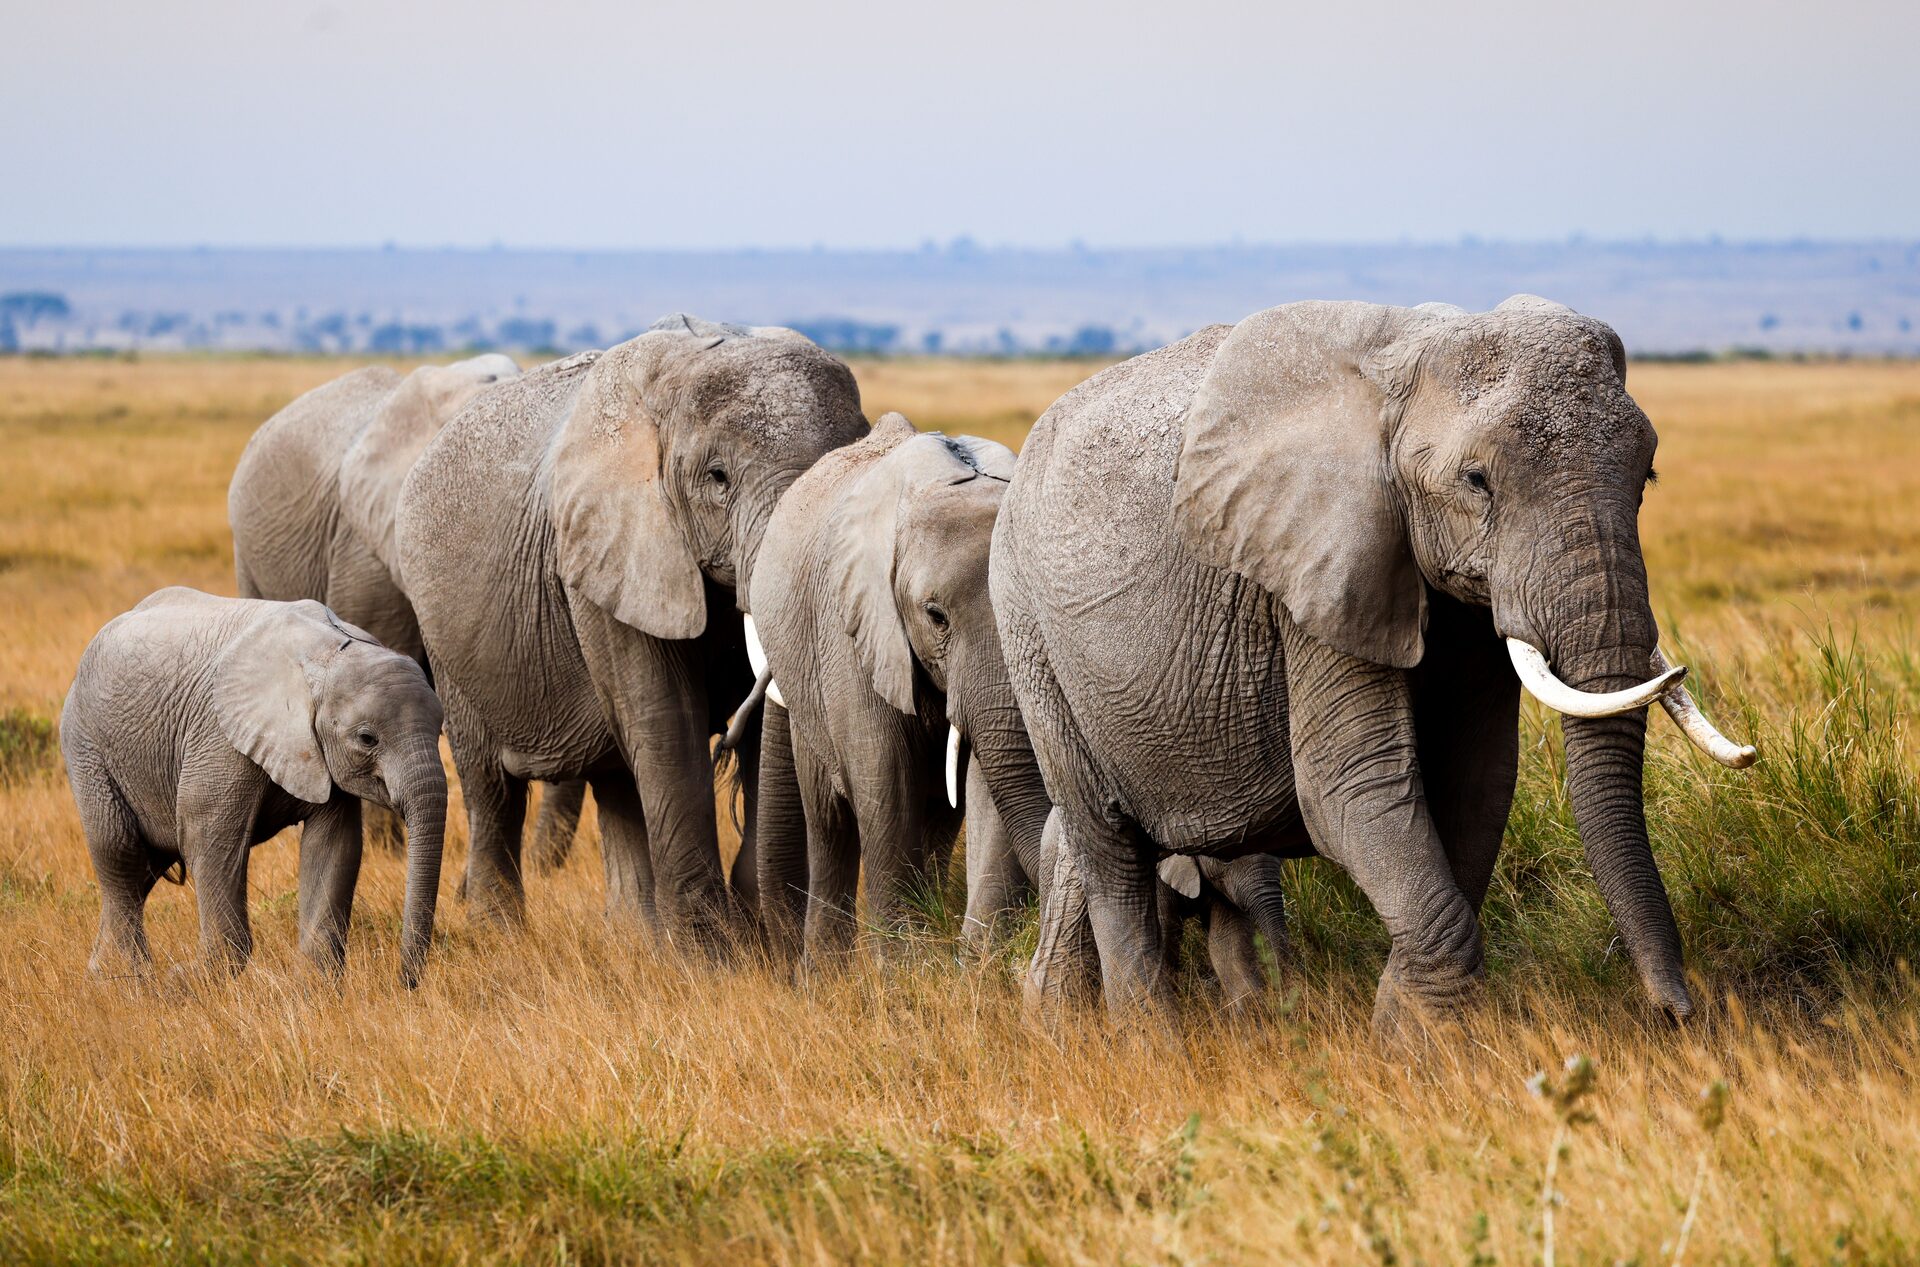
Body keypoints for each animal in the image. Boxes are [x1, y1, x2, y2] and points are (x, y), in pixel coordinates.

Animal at [61, 588, 447, 983]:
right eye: (367, 738)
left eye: (440, 729)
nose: (405, 981)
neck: (328, 654)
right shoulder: (220, 735)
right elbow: (208, 836)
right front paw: (188, 979)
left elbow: (336, 844)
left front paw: (315, 984)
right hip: (85, 744)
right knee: (119, 852)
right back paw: (128, 979)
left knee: (144, 868)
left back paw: (101, 974)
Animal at [395, 315, 869, 946]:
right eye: (717, 478)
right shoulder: (605, 555)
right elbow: (665, 719)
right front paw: (712, 953)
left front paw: (746, 940)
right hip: (445, 636)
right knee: (491, 785)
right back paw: (504, 936)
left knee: (616, 779)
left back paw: (634, 938)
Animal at [991, 297, 1756, 1037]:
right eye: (1477, 481)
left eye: (1647, 476)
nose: (1676, 1014)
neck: (1410, 360)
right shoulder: (1313, 572)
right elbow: (1352, 783)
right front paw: (1410, 1043)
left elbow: (1476, 781)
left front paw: (1413, 1030)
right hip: (1028, 627)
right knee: (1108, 845)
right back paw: (1148, 1046)